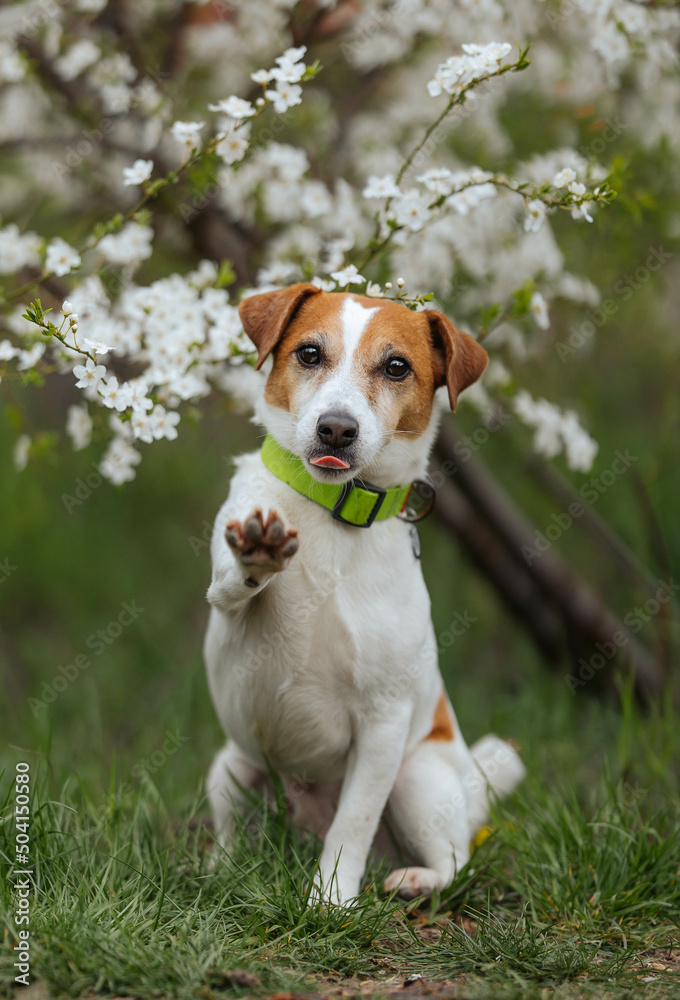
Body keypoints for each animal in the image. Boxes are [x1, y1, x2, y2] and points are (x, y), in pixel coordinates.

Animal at [205, 284, 524, 908]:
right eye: (309, 353)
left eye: (396, 367)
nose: (335, 428)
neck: (331, 511)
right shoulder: (227, 613)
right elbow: (233, 587)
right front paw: (256, 555)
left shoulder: (383, 724)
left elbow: (350, 827)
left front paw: (330, 902)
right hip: (230, 767)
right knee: (232, 834)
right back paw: (219, 869)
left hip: (417, 778)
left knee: (456, 862)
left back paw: (414, 879)